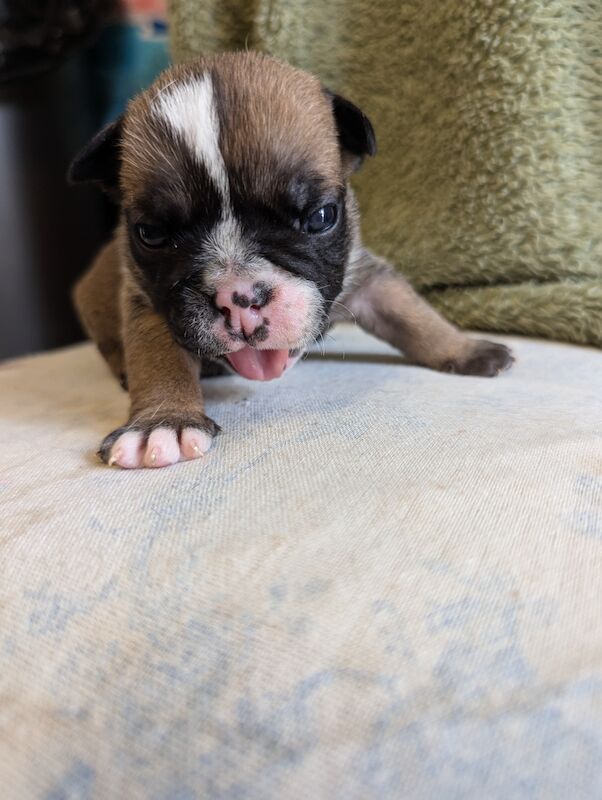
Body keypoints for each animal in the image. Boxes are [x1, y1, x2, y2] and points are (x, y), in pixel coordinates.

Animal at [69, 51, 510, 468]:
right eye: (152, 234)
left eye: (321, 216)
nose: (239, 296)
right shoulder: (149, 302)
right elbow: (158, 357)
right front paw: (162, 423)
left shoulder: (368, 279)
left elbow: (415, 318)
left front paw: (464, 349)